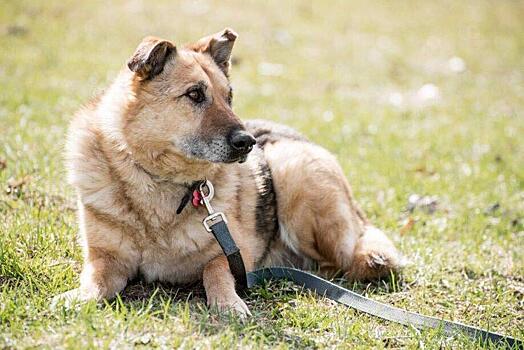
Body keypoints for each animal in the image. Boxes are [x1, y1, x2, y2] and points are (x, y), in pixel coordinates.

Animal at [56, 28, 402, 316]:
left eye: (229, 97)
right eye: (195, 94)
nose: (247, 142)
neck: (160, 181)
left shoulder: (237, 254)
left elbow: (215, 270)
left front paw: (228, 302)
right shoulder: (106, 259)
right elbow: (97, 279)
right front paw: (80, 296)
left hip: (295, 175)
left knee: (344, 259)